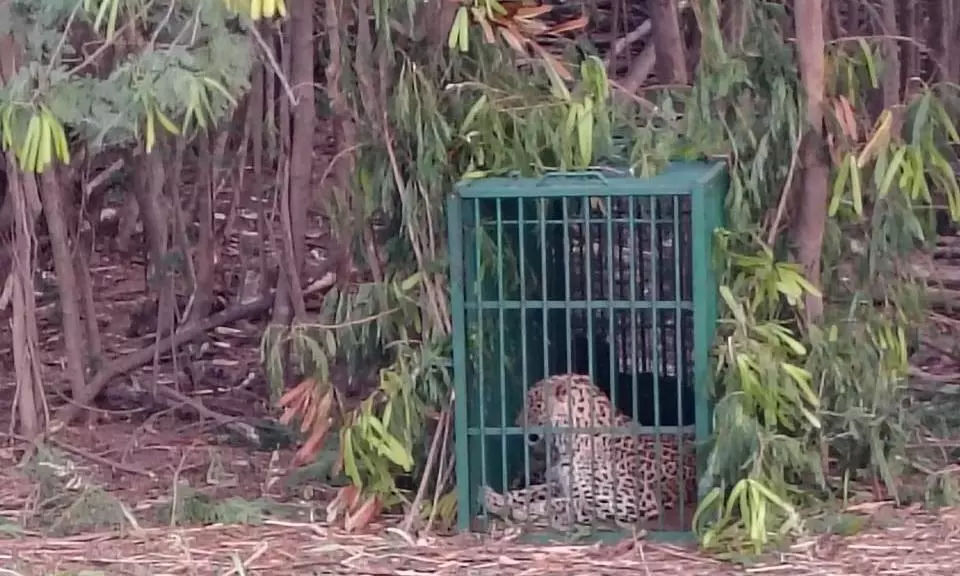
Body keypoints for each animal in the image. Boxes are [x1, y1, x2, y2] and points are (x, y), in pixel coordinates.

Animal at [481, 373, 698, 529]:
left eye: (533, 404)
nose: (516, 423)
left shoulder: (633, 500)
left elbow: (568, 502)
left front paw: (526, 510)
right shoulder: (561, 483)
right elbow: (531, 491)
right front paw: (497, 499)